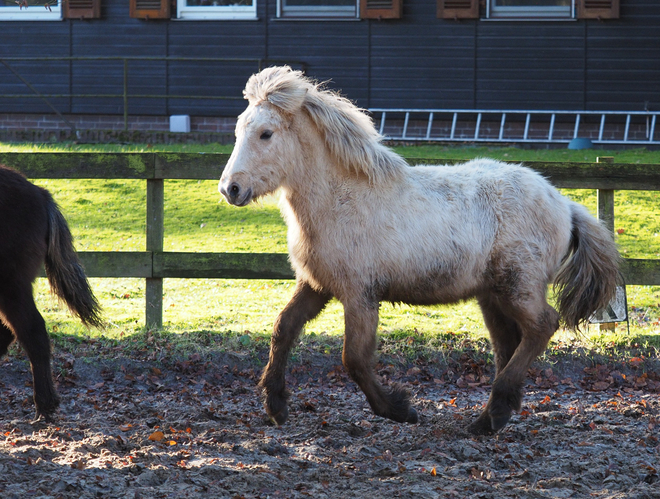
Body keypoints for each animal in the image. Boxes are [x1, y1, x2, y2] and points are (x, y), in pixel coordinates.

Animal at [218, 65, 620, 434]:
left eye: (266, 133)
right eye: (239, 130)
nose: (229, 189)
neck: (340, 200)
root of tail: (565, 205)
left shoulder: (360, 294)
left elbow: (355, 359)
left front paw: (400, 409)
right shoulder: (317, 285)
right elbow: (283, 329)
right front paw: (276, 406)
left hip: (519, 286)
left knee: (542, 326)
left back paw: (492, 413)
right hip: (493, 295)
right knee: (509, 344)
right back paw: (493, 417)